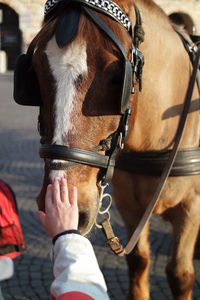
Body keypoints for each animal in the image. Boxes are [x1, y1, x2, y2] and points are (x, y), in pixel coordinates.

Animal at [13, 0, 199, 298]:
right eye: (35, 76)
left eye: (116, 78)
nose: (70, 207)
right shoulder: (130, 206)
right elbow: (139, 260)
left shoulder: (192, 207)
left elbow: (180, 274)